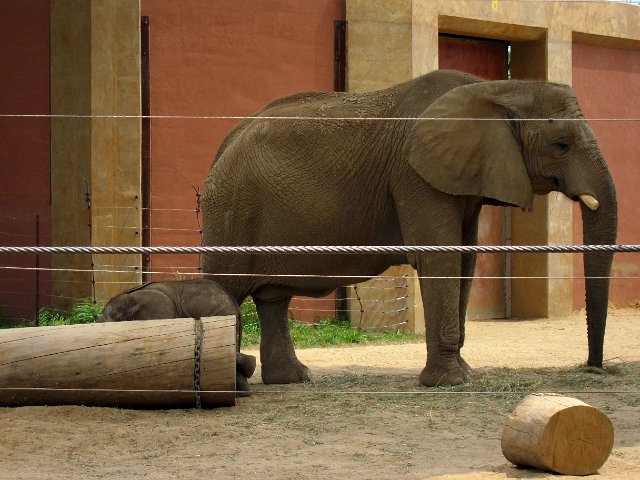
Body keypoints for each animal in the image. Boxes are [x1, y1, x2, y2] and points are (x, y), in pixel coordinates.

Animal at [201, 69, 617, 387]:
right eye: (562, 145)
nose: (593, 367)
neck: (495, 88)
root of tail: (226, 142)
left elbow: (465, 260)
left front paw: (464, 373)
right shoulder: (415, 176)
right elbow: (440, 260)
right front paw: (452, 383)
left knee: (272, 297)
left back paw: (293, 379)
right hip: (232, 210)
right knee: (227, 290)